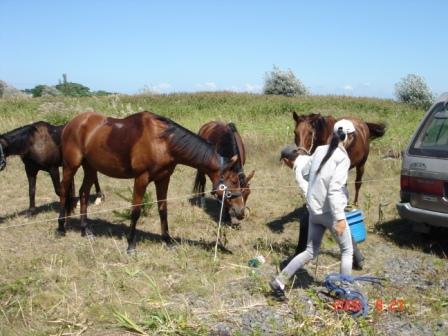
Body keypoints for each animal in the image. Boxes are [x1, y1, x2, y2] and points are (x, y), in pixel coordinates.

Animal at [58, 111, 247, 253]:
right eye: (232, 181)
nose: (240, 211)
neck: (163, 141)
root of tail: (71, 123)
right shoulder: (141, 179)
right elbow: (136, 210)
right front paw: (131, 245)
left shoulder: (163, 179)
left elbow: (163, 209)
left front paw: (168, 241)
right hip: (70, 166)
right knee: (64, 192)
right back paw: (60, 229)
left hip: (90, 168)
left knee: (83, 193)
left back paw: (85, 230)